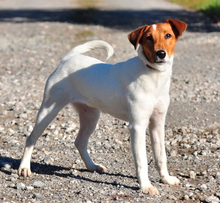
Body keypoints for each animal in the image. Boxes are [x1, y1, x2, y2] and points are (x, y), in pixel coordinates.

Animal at [18, 19, 187, 195]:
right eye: (148, 38)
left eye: (168, 35)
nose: (161, 54)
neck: (154, 75)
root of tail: (68, 58)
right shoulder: (138, 126)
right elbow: (141, 161)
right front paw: (146, 186)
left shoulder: (157, 123)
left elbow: (161, 156)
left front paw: (166, 179)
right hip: (48, 110)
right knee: (31, 138)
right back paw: (24, 168)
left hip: (91, 117)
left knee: (80, 142)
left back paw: (92, 166)